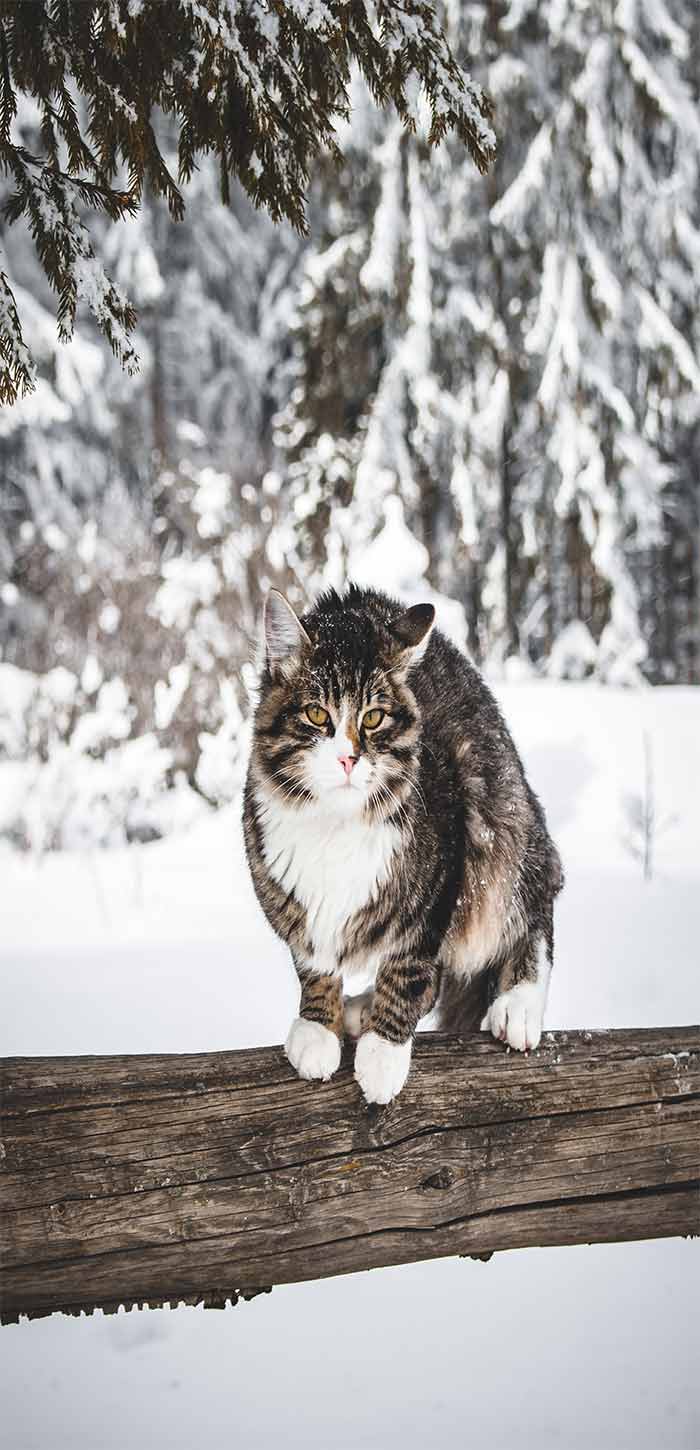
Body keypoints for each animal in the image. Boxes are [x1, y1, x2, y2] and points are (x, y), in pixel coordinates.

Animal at [242, 582, 565, 1102]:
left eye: (373, 718)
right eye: (316, 713)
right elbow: (312, 962)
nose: (349, 759)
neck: (337, 822)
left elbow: (410, 970)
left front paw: (384, 1052)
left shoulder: (442, 874)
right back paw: (358, 1007)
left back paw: (519, 1002)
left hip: (504, 832)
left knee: (531, 910)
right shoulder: (288, 894)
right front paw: (318, 1026)